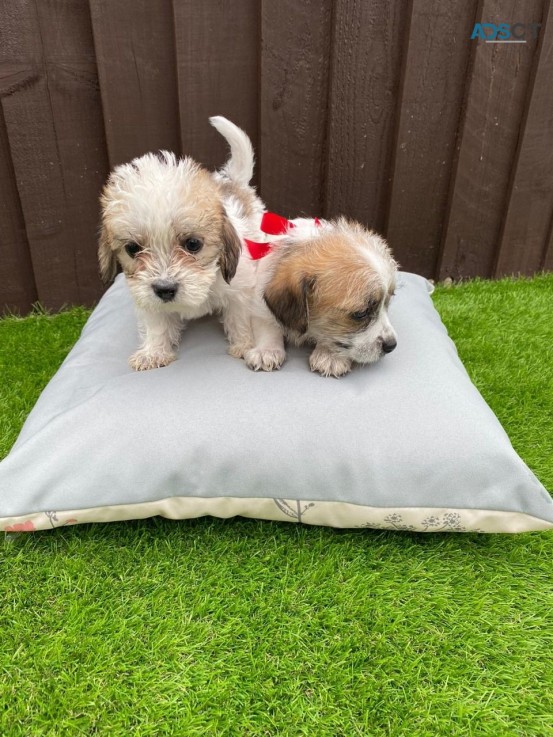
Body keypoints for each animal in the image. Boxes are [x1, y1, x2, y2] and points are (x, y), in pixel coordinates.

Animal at [97, 117, 284, 370]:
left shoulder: (240, 290)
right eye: (132, 249)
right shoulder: (147, 296)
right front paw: (153, 352)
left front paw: (245, 345)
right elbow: (156, 324)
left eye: (193, 244)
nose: (164, 289)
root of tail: (231, 181)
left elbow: (240, 319)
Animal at [258, 217, 396, 380]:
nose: (392, 345)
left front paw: (330, 356)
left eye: (388, 302)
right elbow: (267, 322)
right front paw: (266, 350)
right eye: (360, 314)